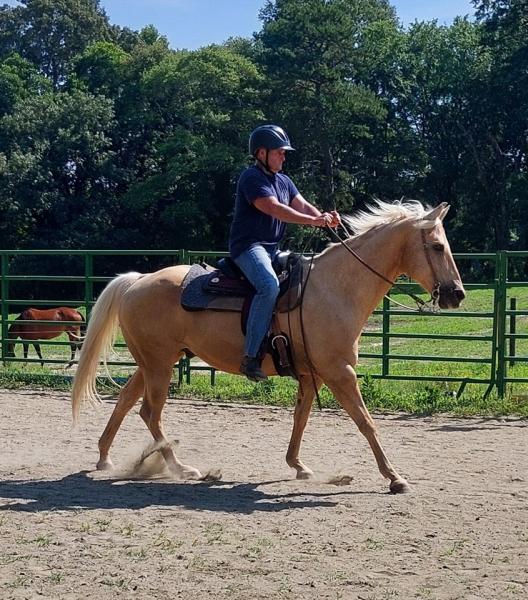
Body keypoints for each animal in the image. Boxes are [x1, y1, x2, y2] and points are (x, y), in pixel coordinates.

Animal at [71, 202, 466, 492]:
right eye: (437, 246)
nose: (457, 294)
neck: (334, 289)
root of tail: (137, 281)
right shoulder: (339, 372)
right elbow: (366, 422)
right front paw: (395, 477)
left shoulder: (313, 375)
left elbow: (300, 419)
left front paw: (299, 466)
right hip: (159, 365)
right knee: (150, 413)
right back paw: (182, 468)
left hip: (153, 363)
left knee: (126, 402)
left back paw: (105, 458)